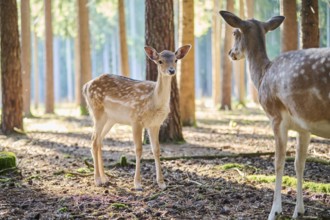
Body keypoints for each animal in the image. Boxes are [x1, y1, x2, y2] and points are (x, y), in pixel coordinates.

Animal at [82, 44, 191, 189]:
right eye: (160, 61)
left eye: (175, 60)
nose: (172, 70)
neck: (153, 101)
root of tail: (85, 86)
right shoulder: (136, 119)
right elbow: (138, 149)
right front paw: (137, 183)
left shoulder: (155, 124)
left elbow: (156, 150)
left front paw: (161, 183)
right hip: (97, 111)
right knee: (94, 140)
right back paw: (98, 180)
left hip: (110, 119)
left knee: (99, 141)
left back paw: (105, 178)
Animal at [219, 9, 330, 218]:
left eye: (235, 33)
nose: (230, 53)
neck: (262, 75)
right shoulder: (304, 127)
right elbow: (299, 163)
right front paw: (299, 211)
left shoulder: (276, 117)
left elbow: (279, 162)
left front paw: (274, 211)